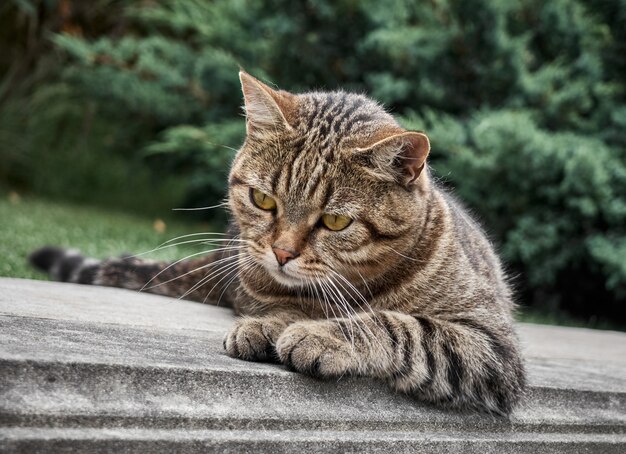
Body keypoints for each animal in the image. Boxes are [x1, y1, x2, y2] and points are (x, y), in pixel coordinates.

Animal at [31, 71, 524, 414]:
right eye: (263, 199)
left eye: (335, 221)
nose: (282, 252)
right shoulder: (259, 288)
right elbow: (283, 305)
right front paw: (273, 323)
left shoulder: (489, 347)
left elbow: (400, 326)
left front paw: (321, 333)